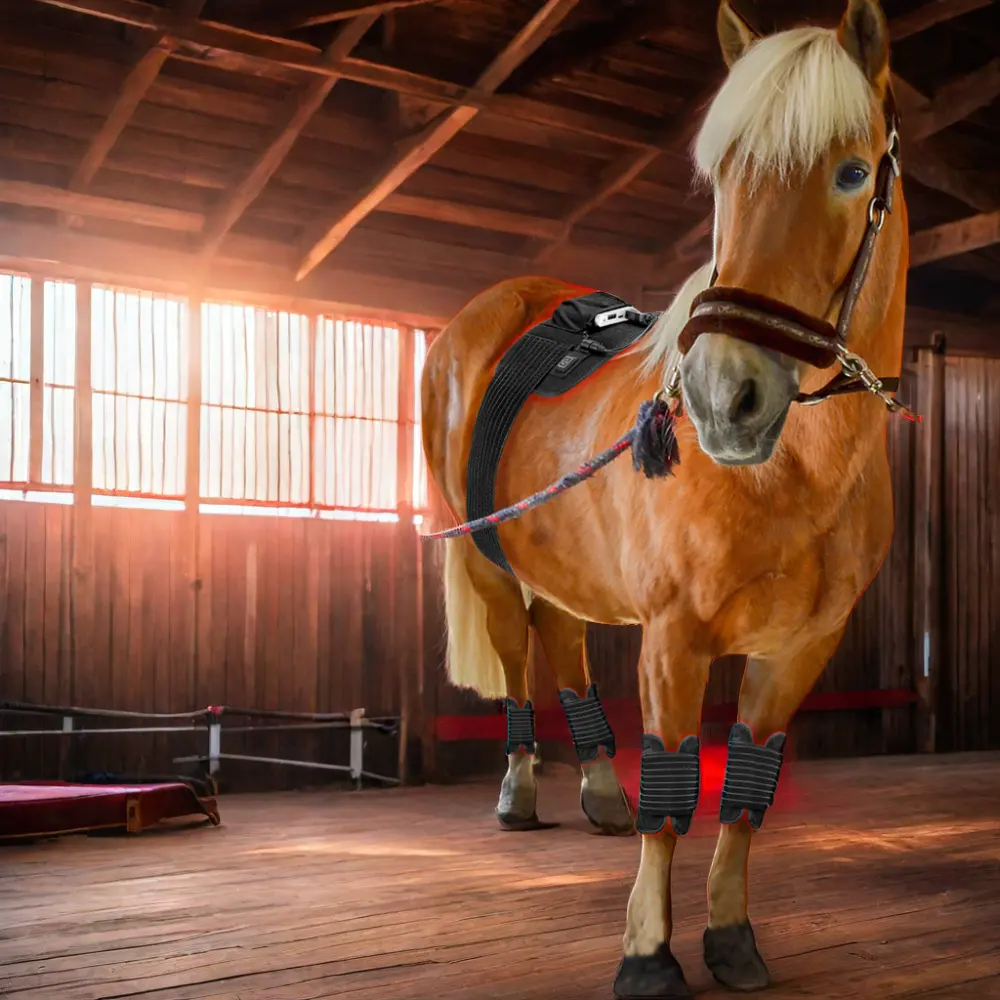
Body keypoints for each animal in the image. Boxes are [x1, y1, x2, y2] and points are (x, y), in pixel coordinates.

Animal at [420, 1, 908, 992]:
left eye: (851, 173)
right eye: (723, 179)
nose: (724, 397)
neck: (792, 472)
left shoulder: (800, 650)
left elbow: (747, 791)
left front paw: (730, 937)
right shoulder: (675, 639)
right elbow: (676, 788)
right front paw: (647, 950)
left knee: (562, 639)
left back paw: (601, 790)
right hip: (487, 557)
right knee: (519, 654)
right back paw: (520, 790)